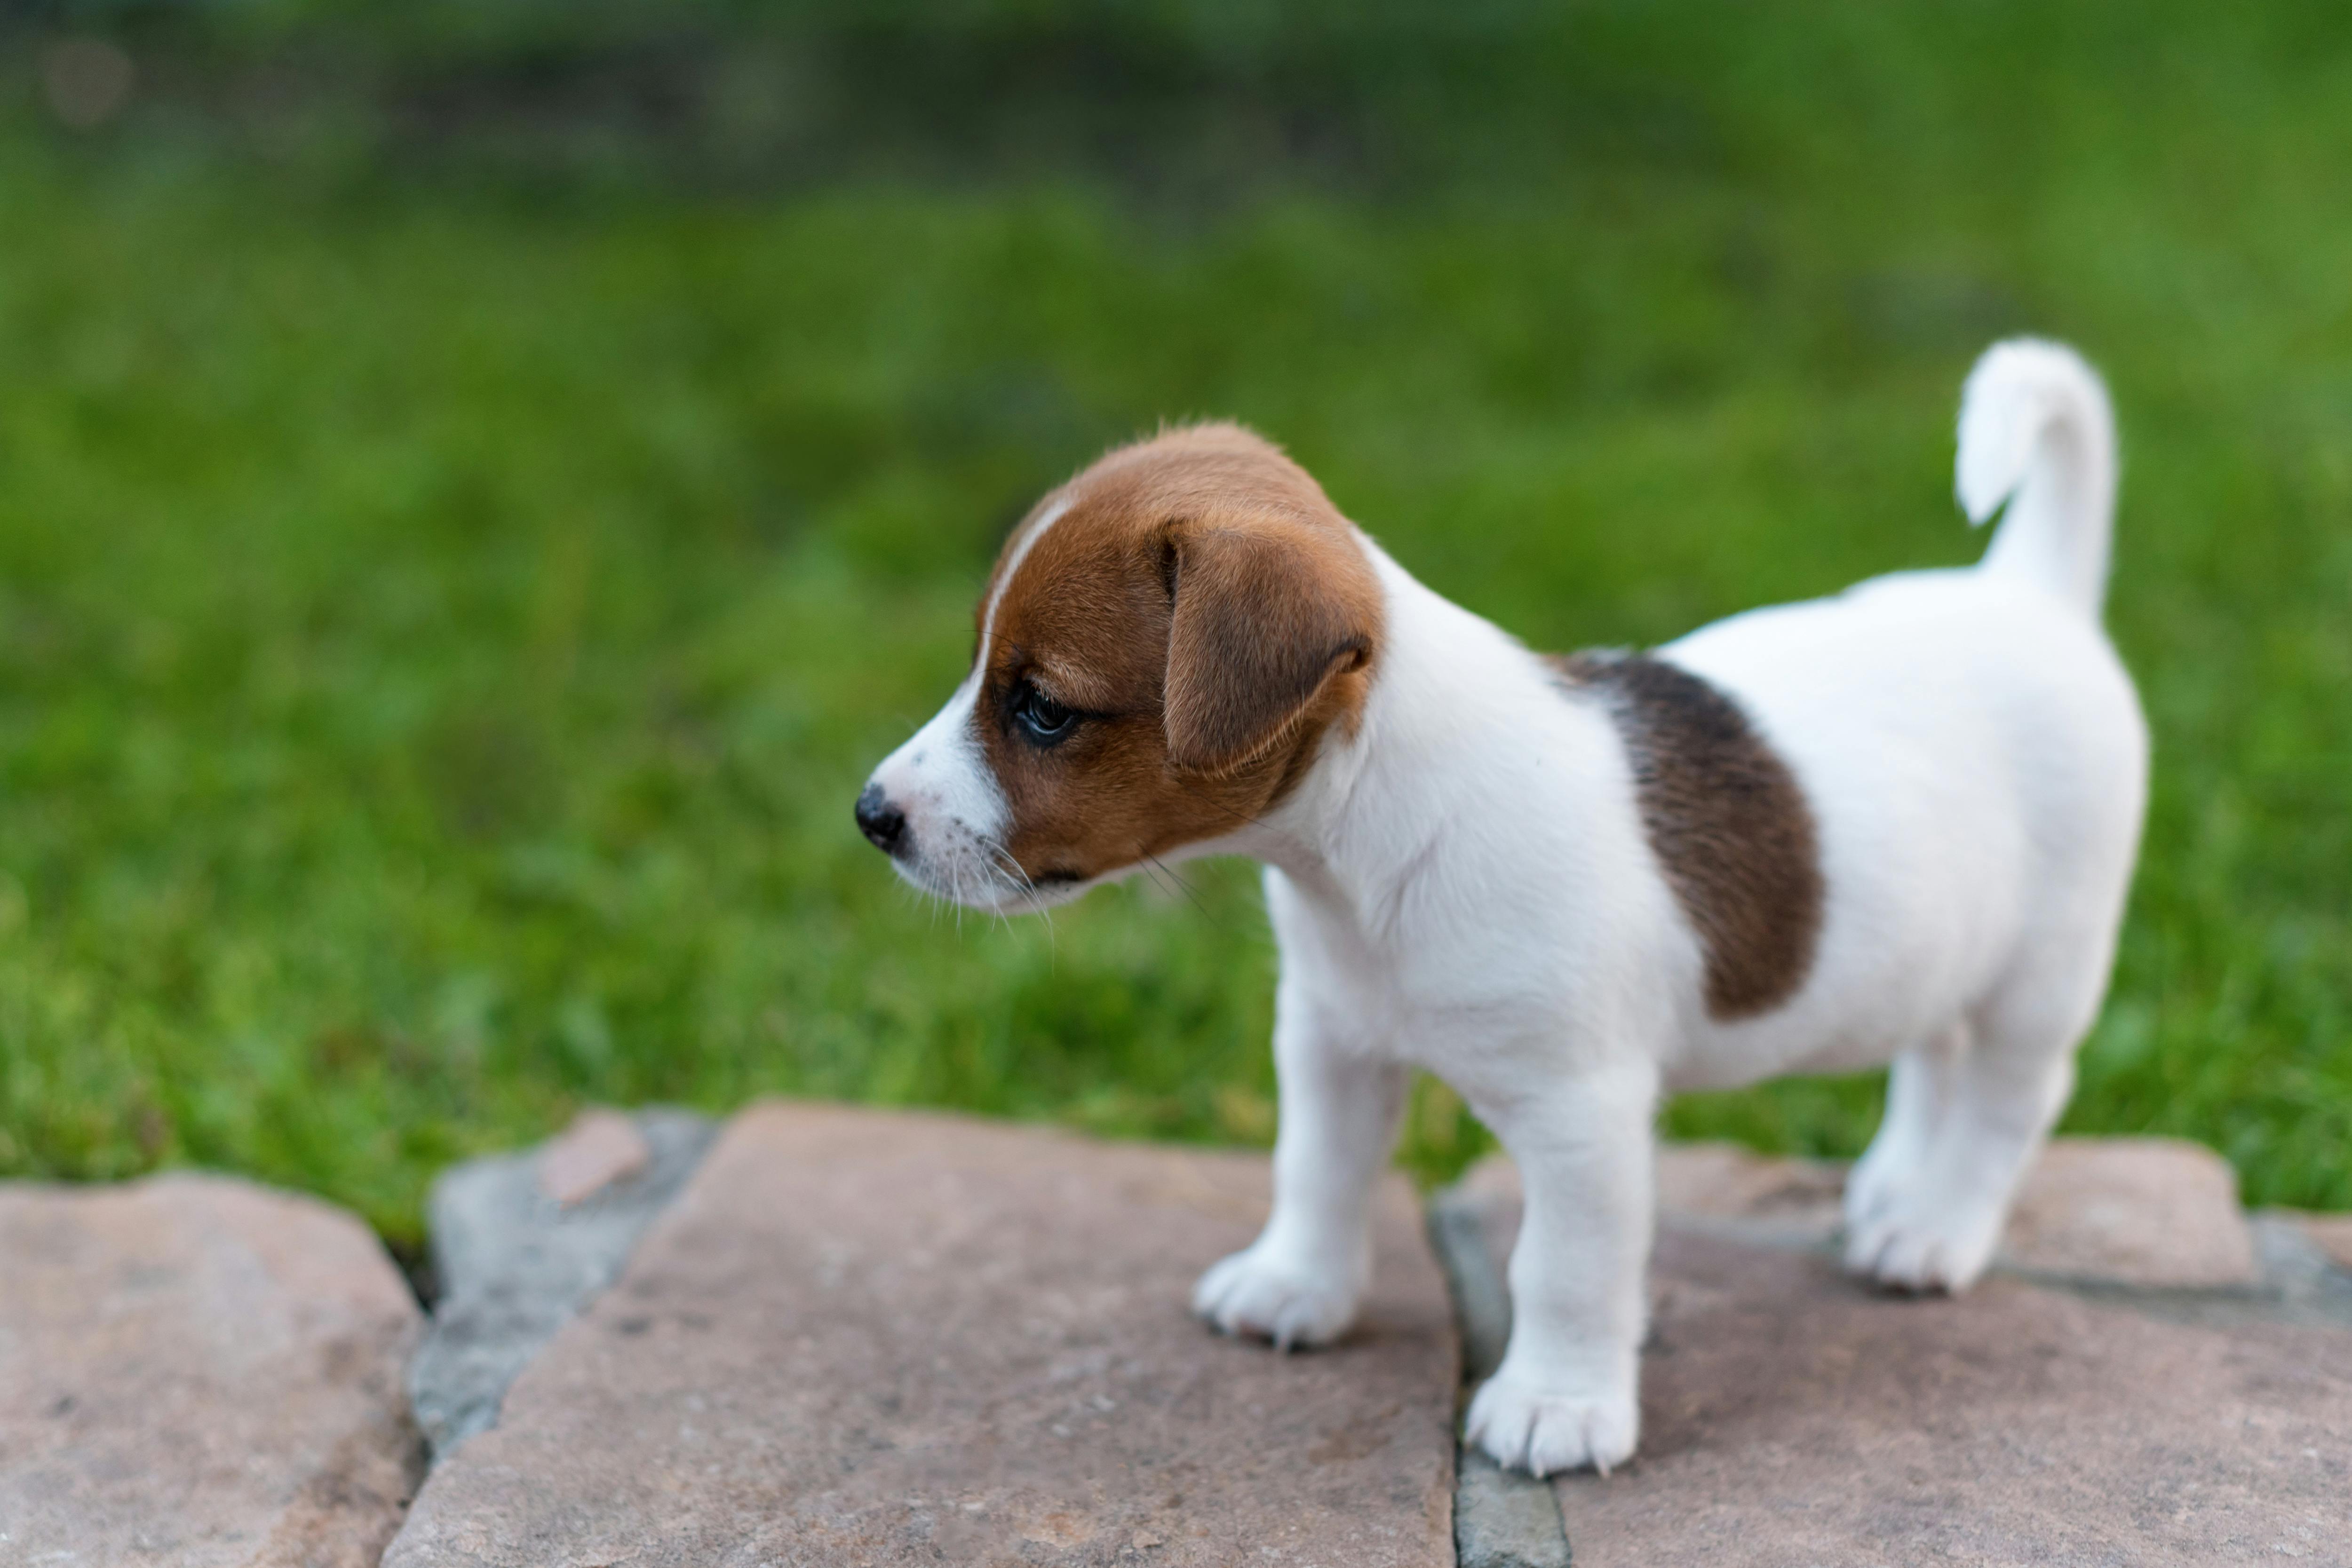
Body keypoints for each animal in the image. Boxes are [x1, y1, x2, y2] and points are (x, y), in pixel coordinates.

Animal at [861, 338, 2154, 1476]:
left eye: (1042, 709)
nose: (872, 815)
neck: (1370, 850)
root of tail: (2032, 594)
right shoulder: (1330, 1042)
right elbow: (1315, 1170)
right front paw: (1296, 1286)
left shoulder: (1582, 1115)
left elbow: (1565, 1270)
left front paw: (1557, 1406)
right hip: (1940, 939)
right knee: (1933, 1051)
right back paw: (1894, 1187)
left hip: (2047, 965)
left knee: (2007, 1098)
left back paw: (1935, 1227)